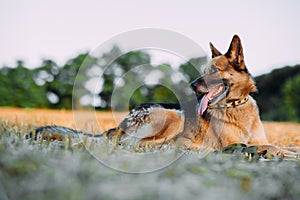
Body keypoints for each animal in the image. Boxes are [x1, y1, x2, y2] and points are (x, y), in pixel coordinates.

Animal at [29, 35, 298, 157]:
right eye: (203, 71)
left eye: (214, 71)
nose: (192, 85)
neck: (235, 106)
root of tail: (124, 120)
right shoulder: (232, 144)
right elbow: (269, 145)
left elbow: (278, 144)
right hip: (171, 115)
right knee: (133, 145)